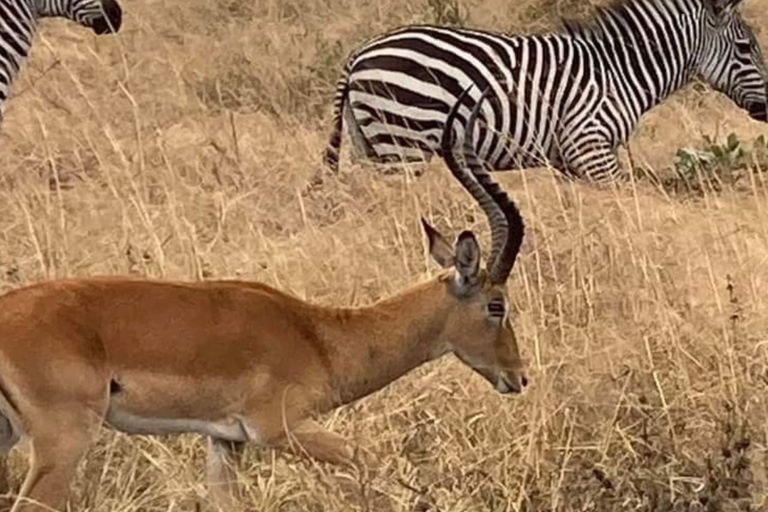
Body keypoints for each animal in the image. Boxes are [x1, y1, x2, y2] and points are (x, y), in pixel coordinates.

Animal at [0, 90, 524, 510]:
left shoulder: (224, 442)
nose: (518, 377)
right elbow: (366, 460)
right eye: (497, 305)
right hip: (64, 441)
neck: (319, 336)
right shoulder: (278, 429)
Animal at [320, 0, 764, 182]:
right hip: (403, 144)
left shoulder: (572, 160)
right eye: (746, 48)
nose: (767, 110)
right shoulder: (590, 145)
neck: (619, 72)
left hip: (372, 145)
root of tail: (360, 53)